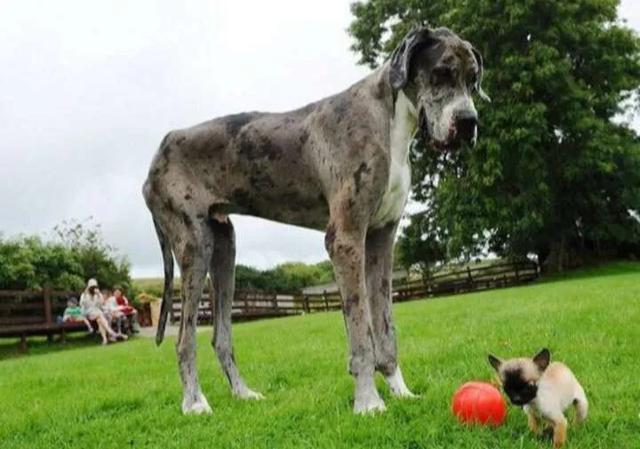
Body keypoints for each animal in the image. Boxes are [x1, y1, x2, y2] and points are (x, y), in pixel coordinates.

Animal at [142, 27, 488, 412]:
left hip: (224, 249)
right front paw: (369, 403)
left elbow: (385, 329)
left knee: (220, 336)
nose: (468, 122)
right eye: (441, 72)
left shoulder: (381, 240)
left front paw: (401, 391)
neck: (389, 121)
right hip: (195, 245)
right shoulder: (345, 239)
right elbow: (361, 333)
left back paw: (243, 394)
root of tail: (160, 150)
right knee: (184, 338)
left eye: (473, 80)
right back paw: (195, 404)